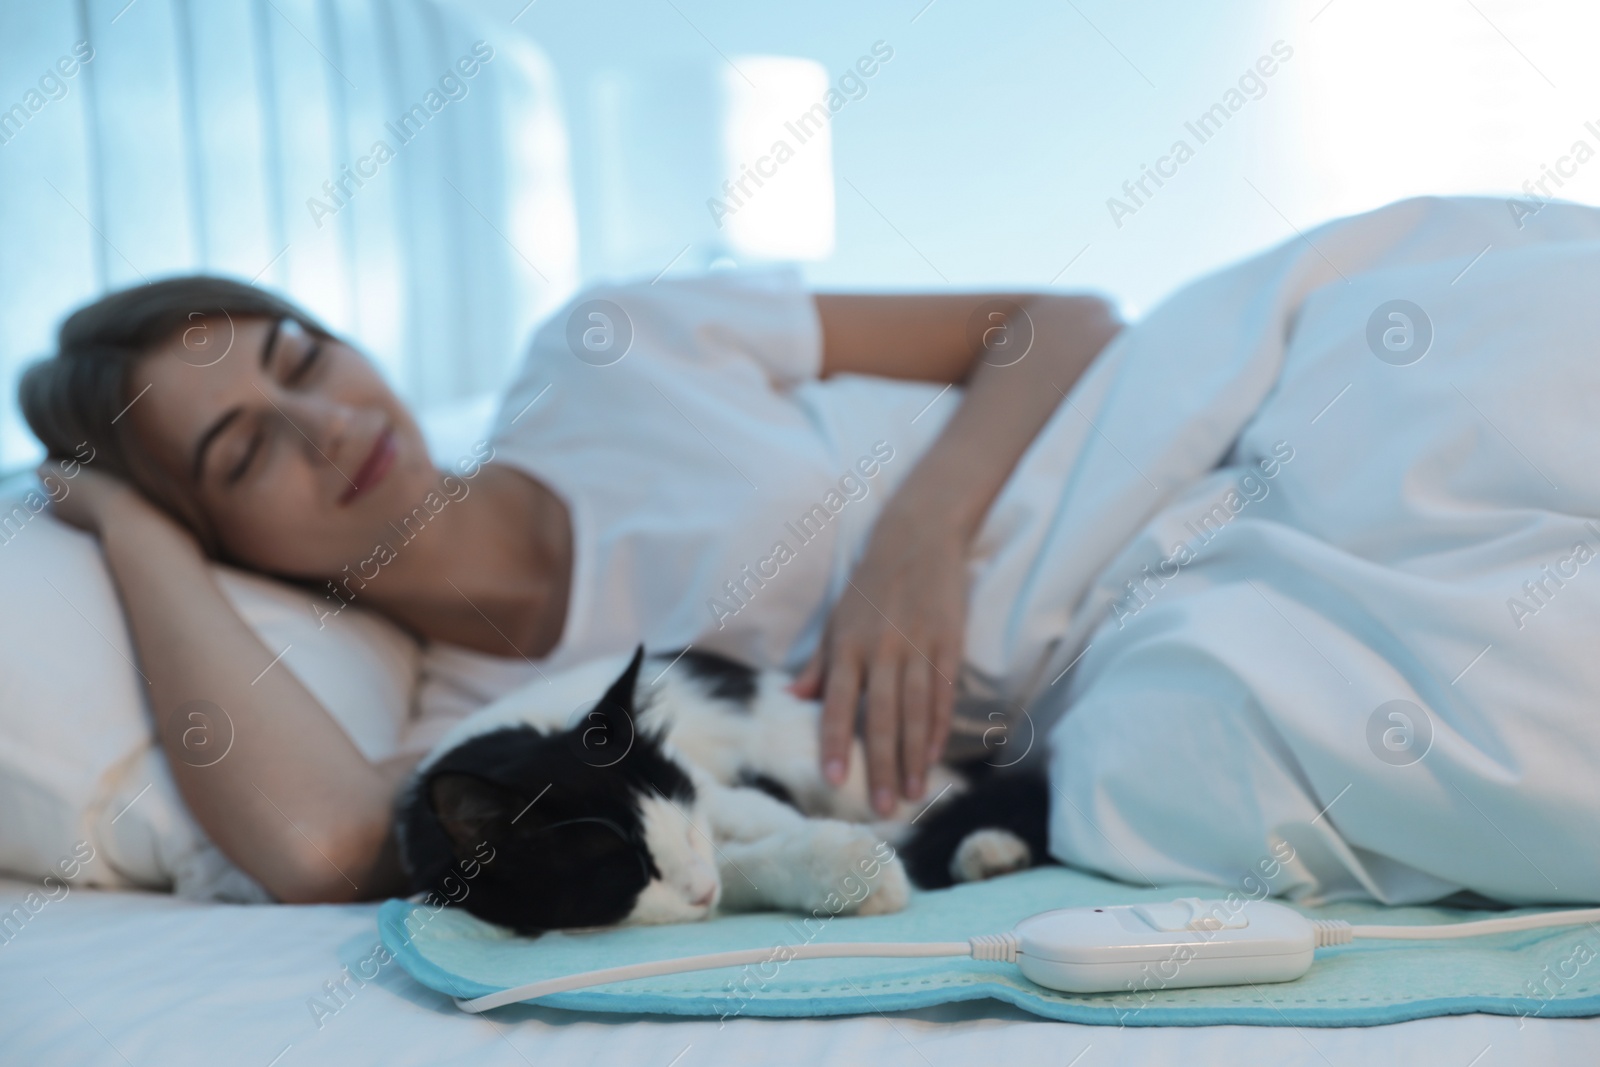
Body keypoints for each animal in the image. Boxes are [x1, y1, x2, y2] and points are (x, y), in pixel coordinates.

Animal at [395, 643, 1056, 934]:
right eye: (625, 871)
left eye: (686, 828)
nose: (702, 890)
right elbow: (749, 867)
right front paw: (850, 873)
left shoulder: (712, 793)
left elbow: (774, 828)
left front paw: (858, 867)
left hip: (847, 772)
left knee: (949, 806)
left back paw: (984, 849)